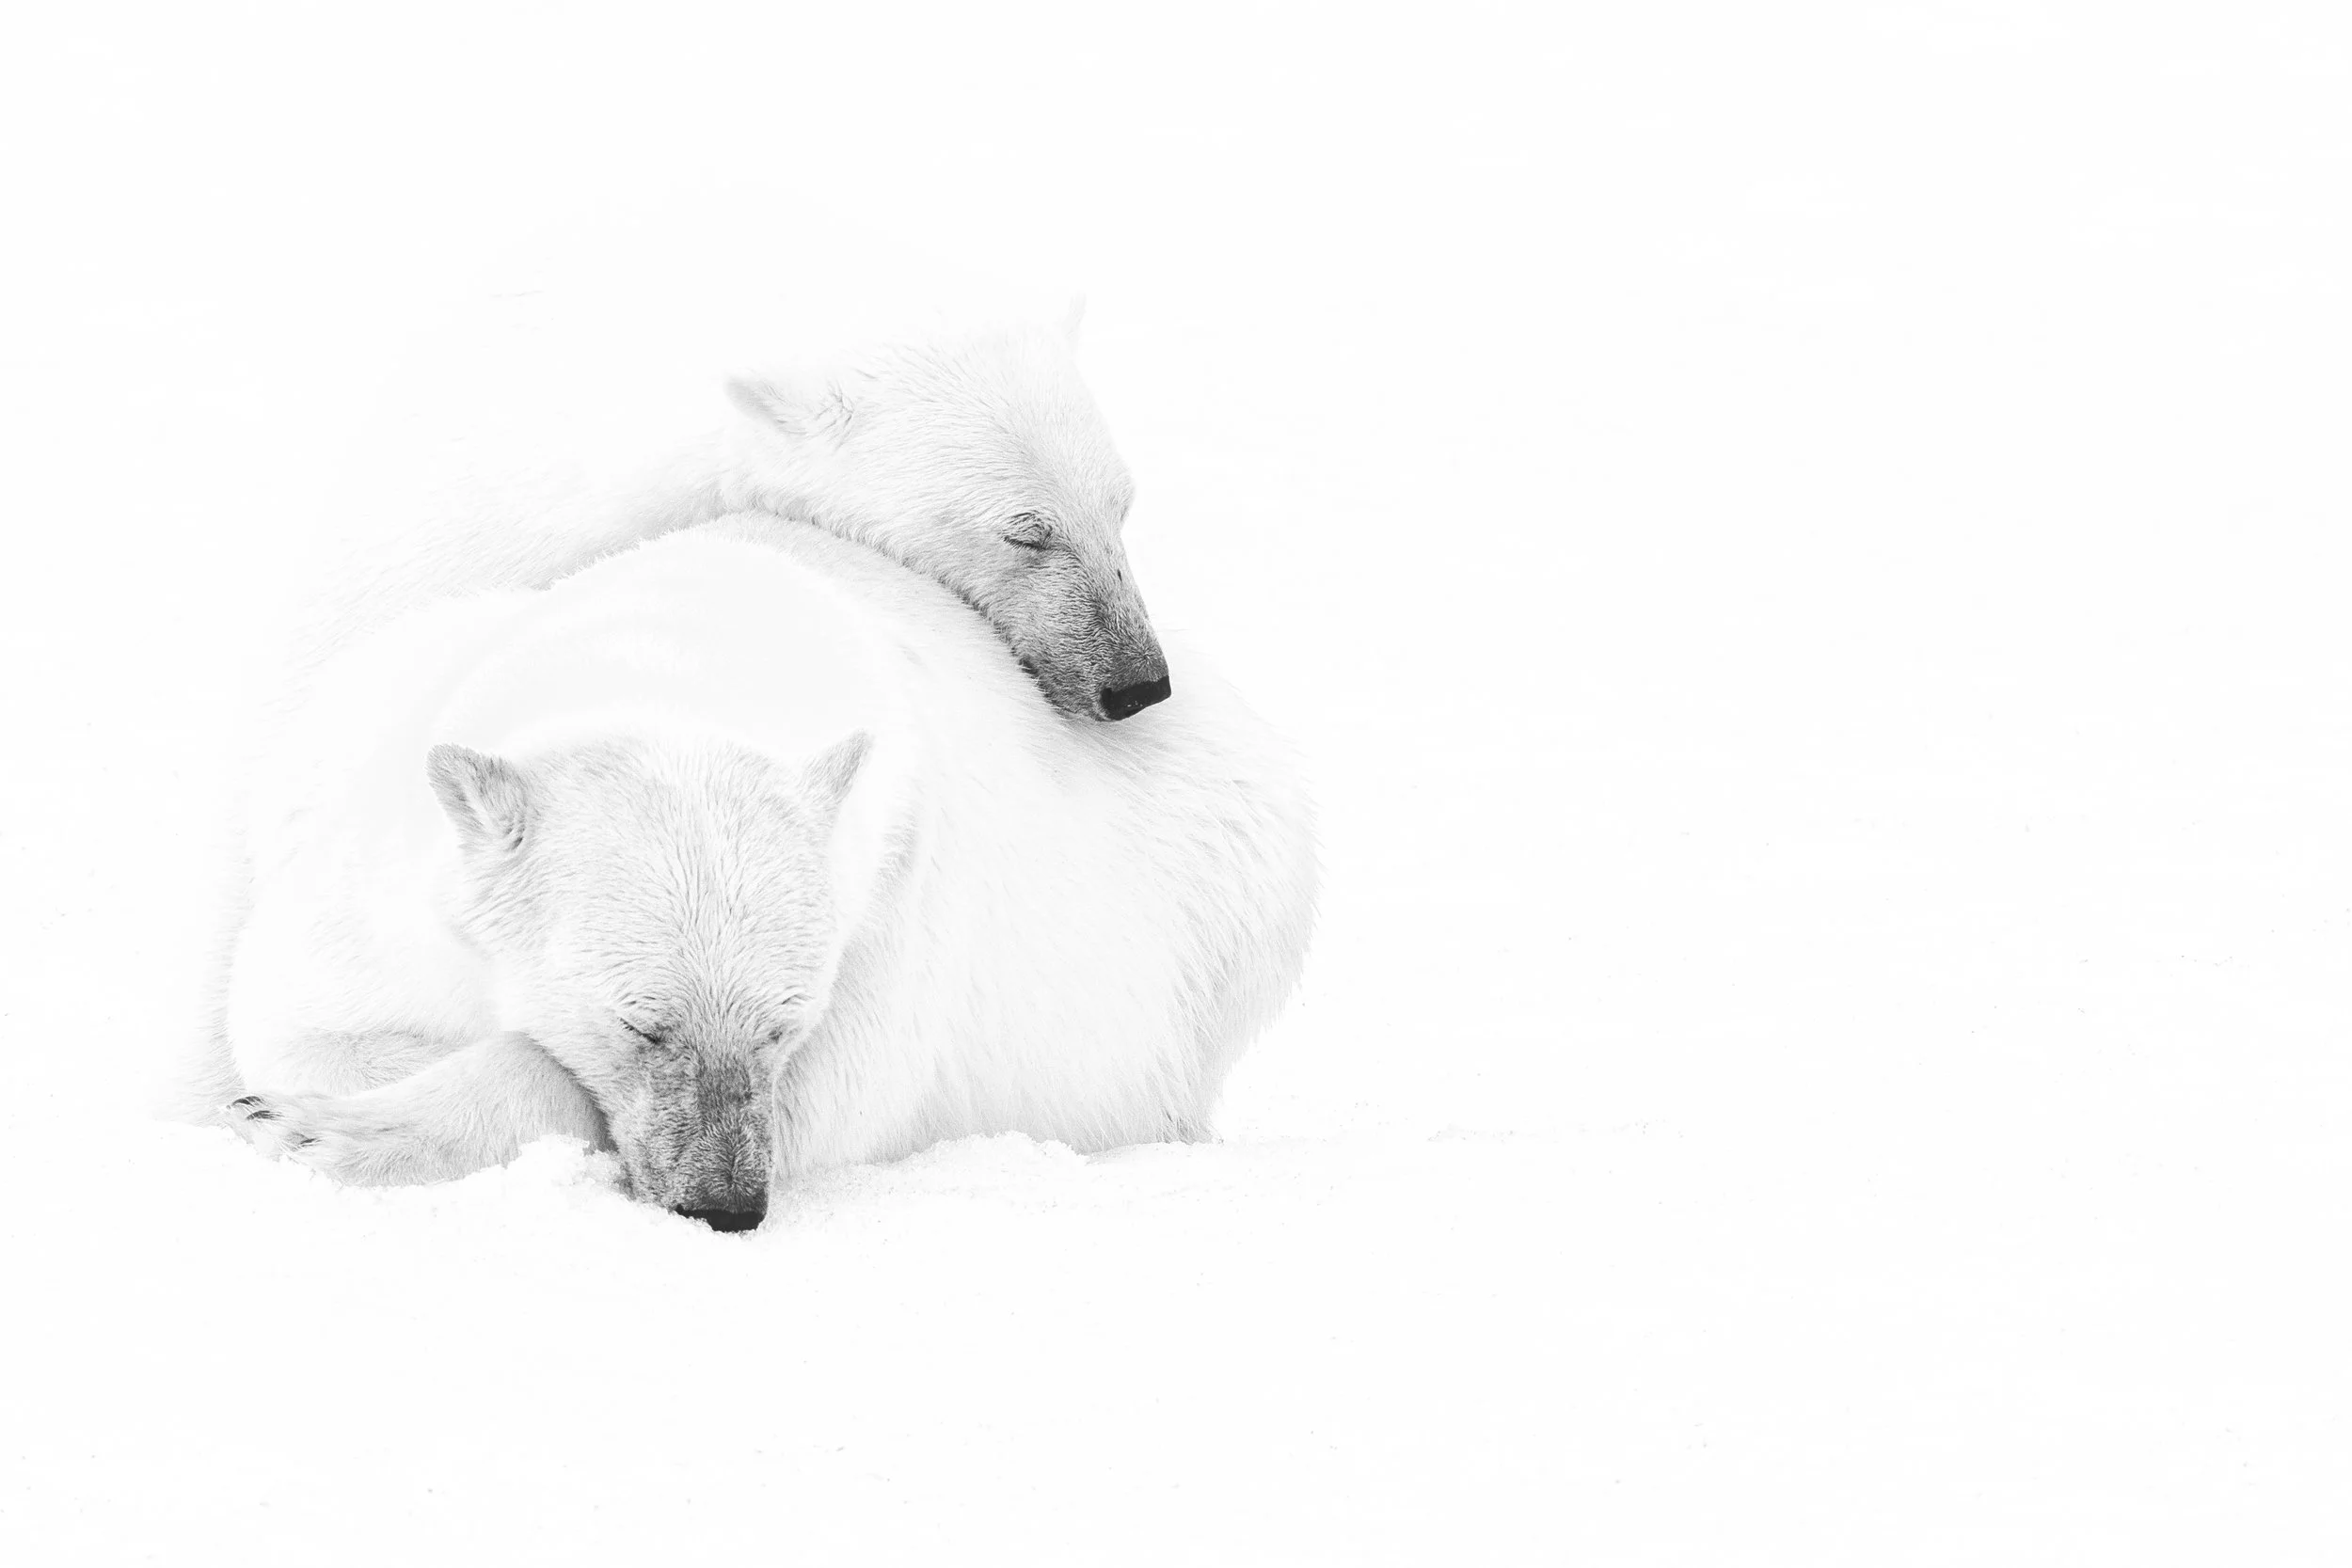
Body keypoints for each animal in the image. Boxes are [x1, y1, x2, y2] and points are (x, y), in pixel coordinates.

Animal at [221, 518, 1317, 1221]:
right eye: (643, 1021)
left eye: (783, 1023)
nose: (728, 1202)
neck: (684, 646)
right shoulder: (383, 884)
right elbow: (302, 1021)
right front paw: (280, 1107)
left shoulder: (890, 890)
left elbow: (833, 1100)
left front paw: (323, 1133)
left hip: (1222, 895)